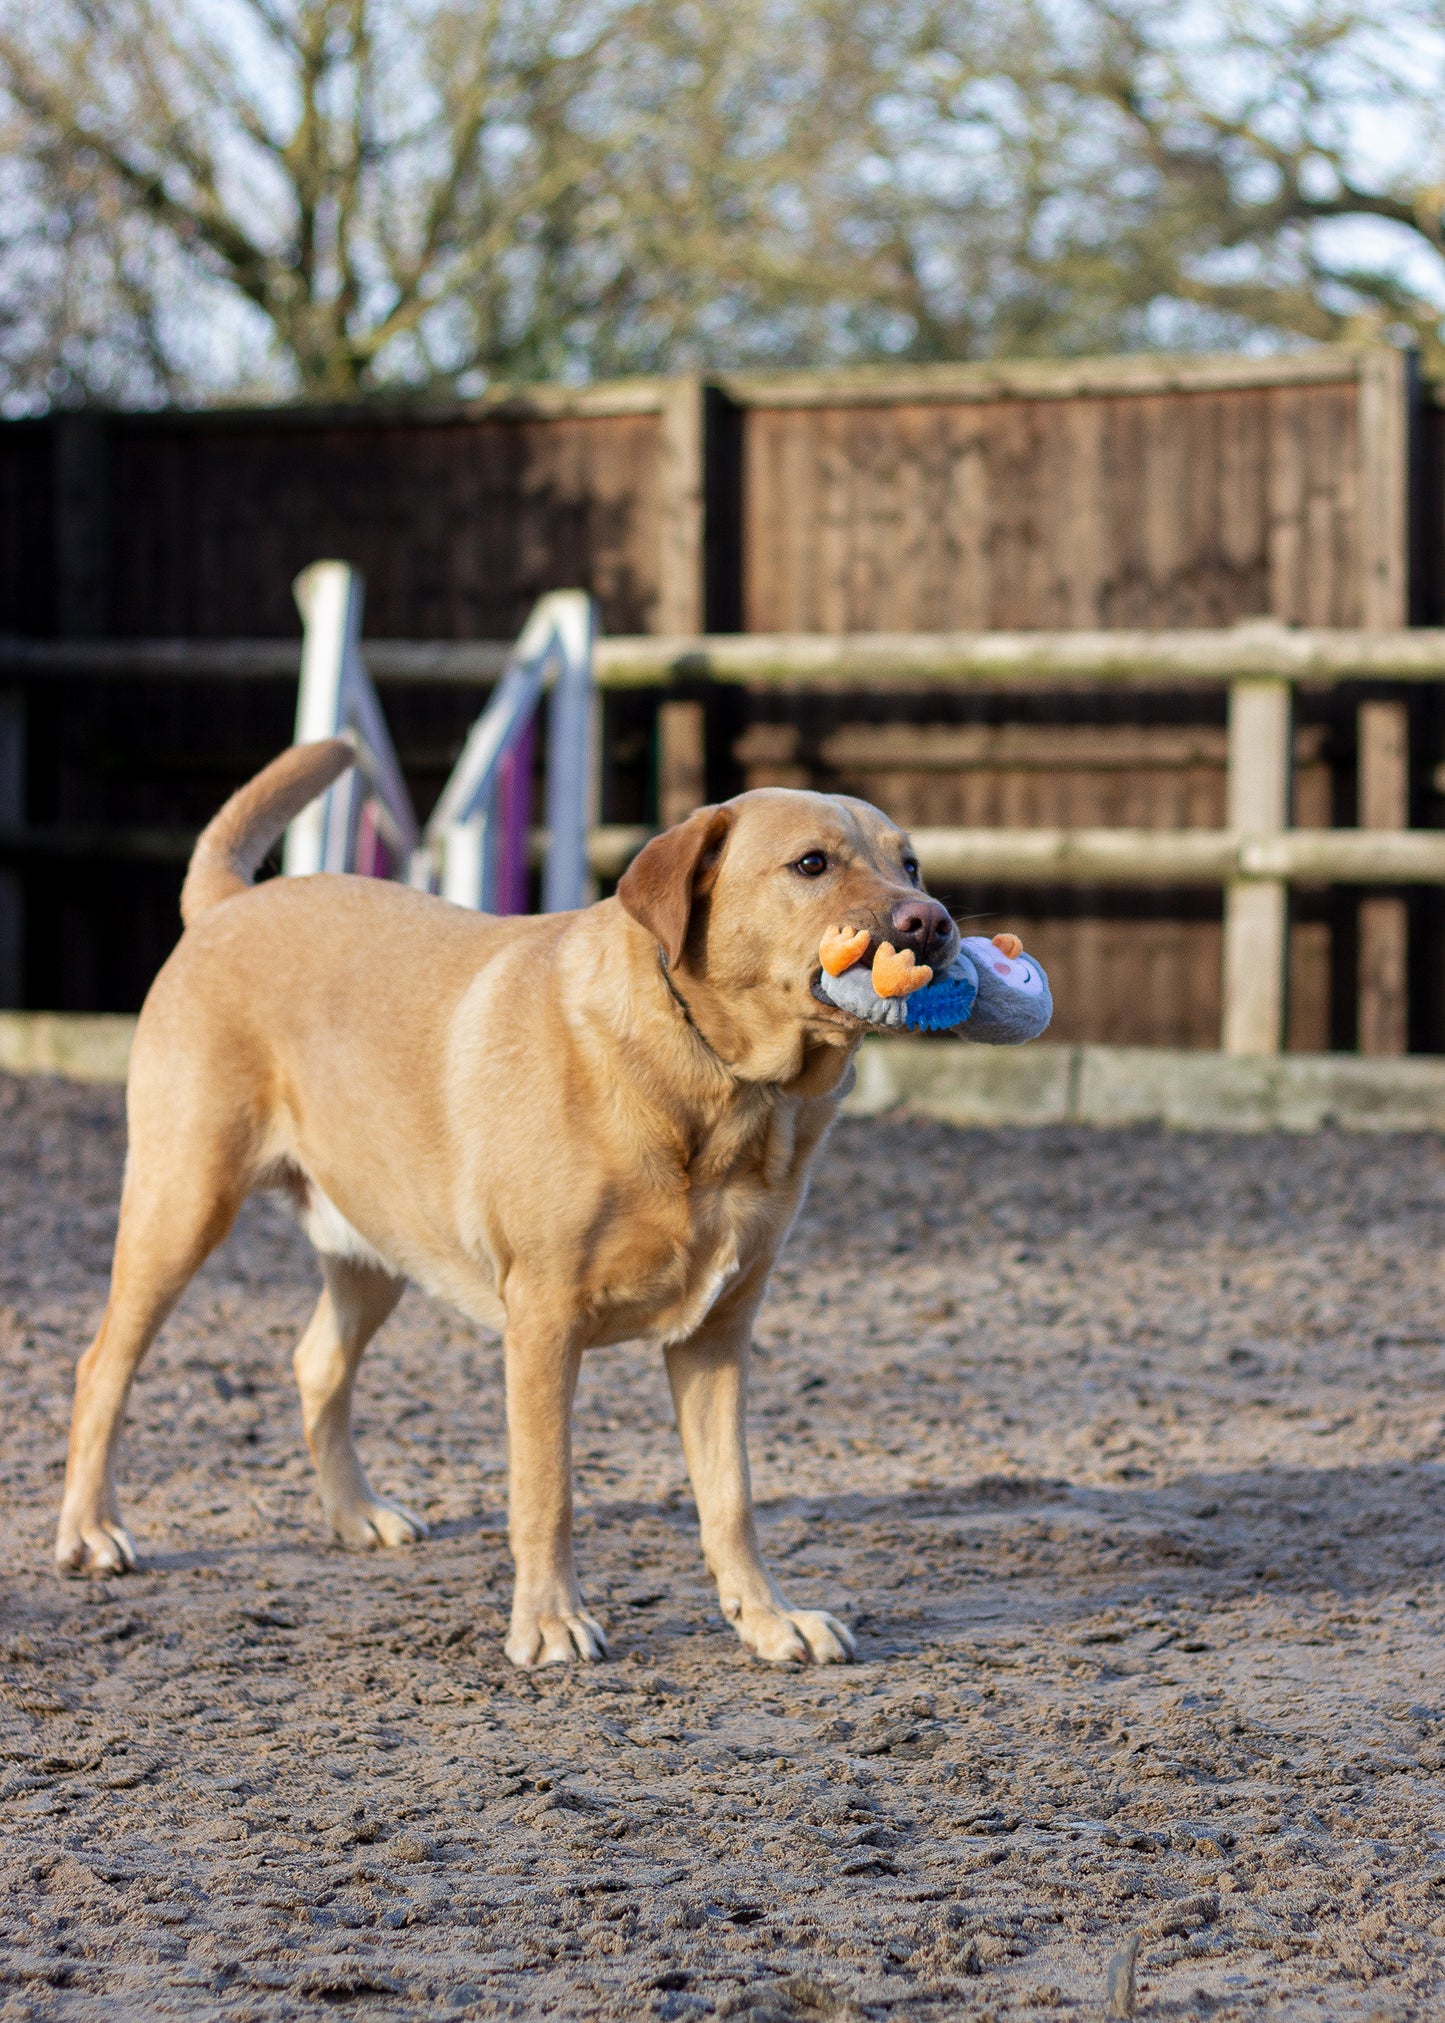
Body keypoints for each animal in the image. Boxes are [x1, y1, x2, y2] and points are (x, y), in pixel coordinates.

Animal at [56, 740, 955, 1658]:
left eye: (909, 862)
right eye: (811, 864)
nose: (931, 921)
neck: (719, 1088)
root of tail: (226, 903)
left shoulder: (717, 1335)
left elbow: (729, 1498)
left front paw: (768, 1620)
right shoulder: (544, 1319)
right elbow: (547, 1490)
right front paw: (551, 1622)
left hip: (374, 1245)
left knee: (316, 1365)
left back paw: (356, 1512)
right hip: (181, 1205)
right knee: (103, 1367)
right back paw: (89, 1532)